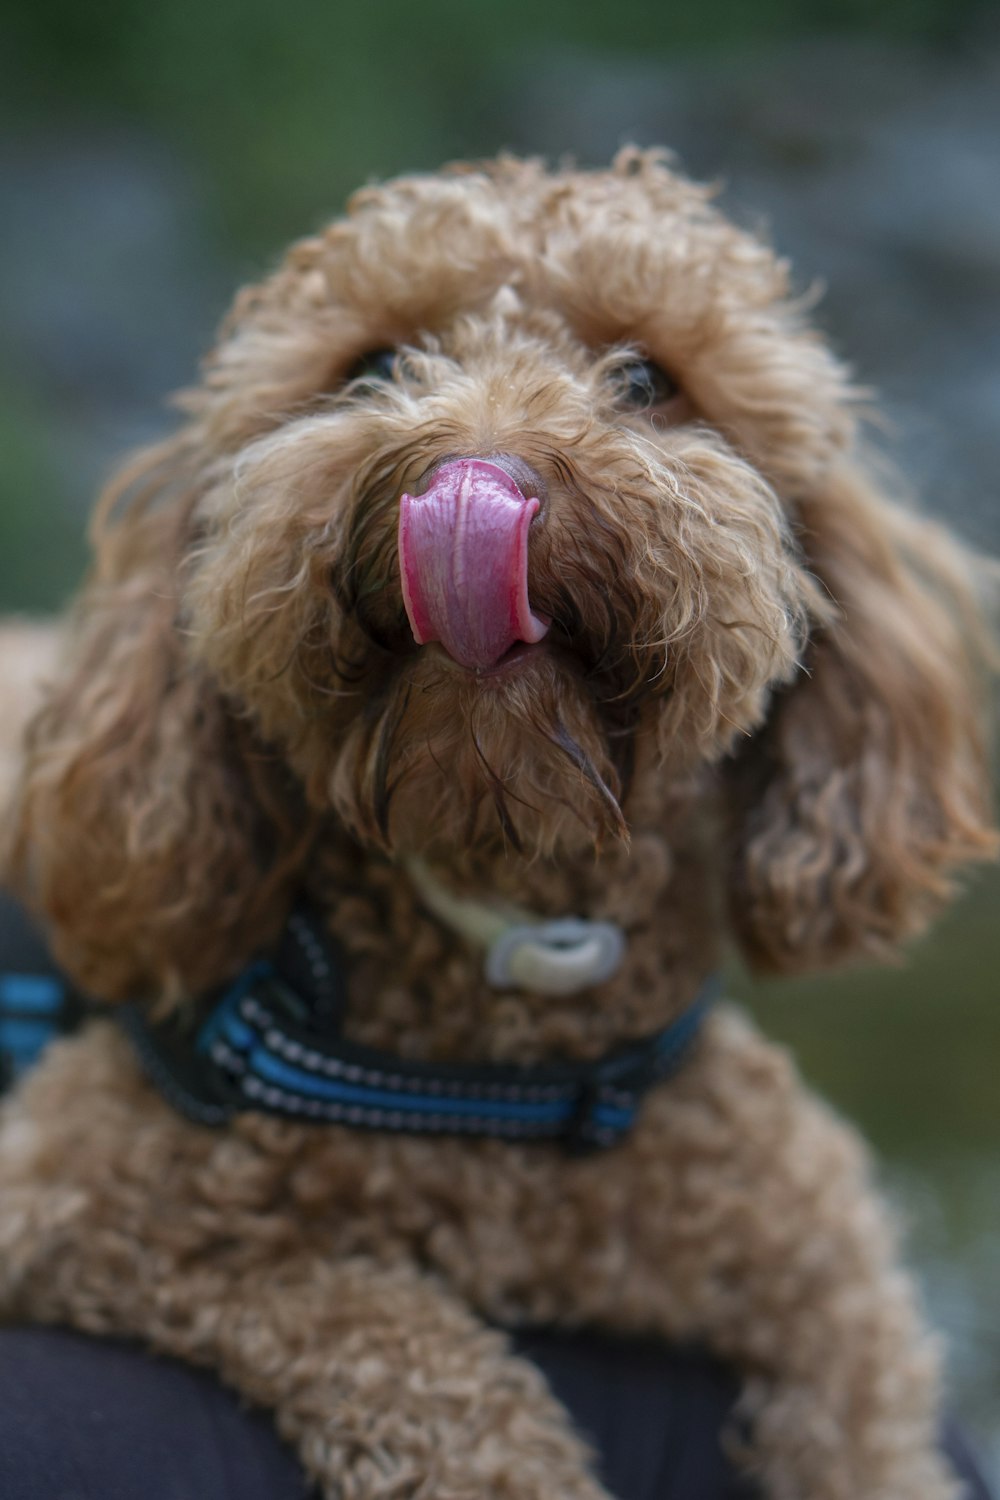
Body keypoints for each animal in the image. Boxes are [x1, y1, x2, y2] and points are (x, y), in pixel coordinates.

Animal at [0, 155, 995, 1500]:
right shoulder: (73, 1192)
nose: (472, 479)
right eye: (374, 364)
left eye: (644, 379)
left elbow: (870, 1428)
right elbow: (397, 1338)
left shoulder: (819, 1264)